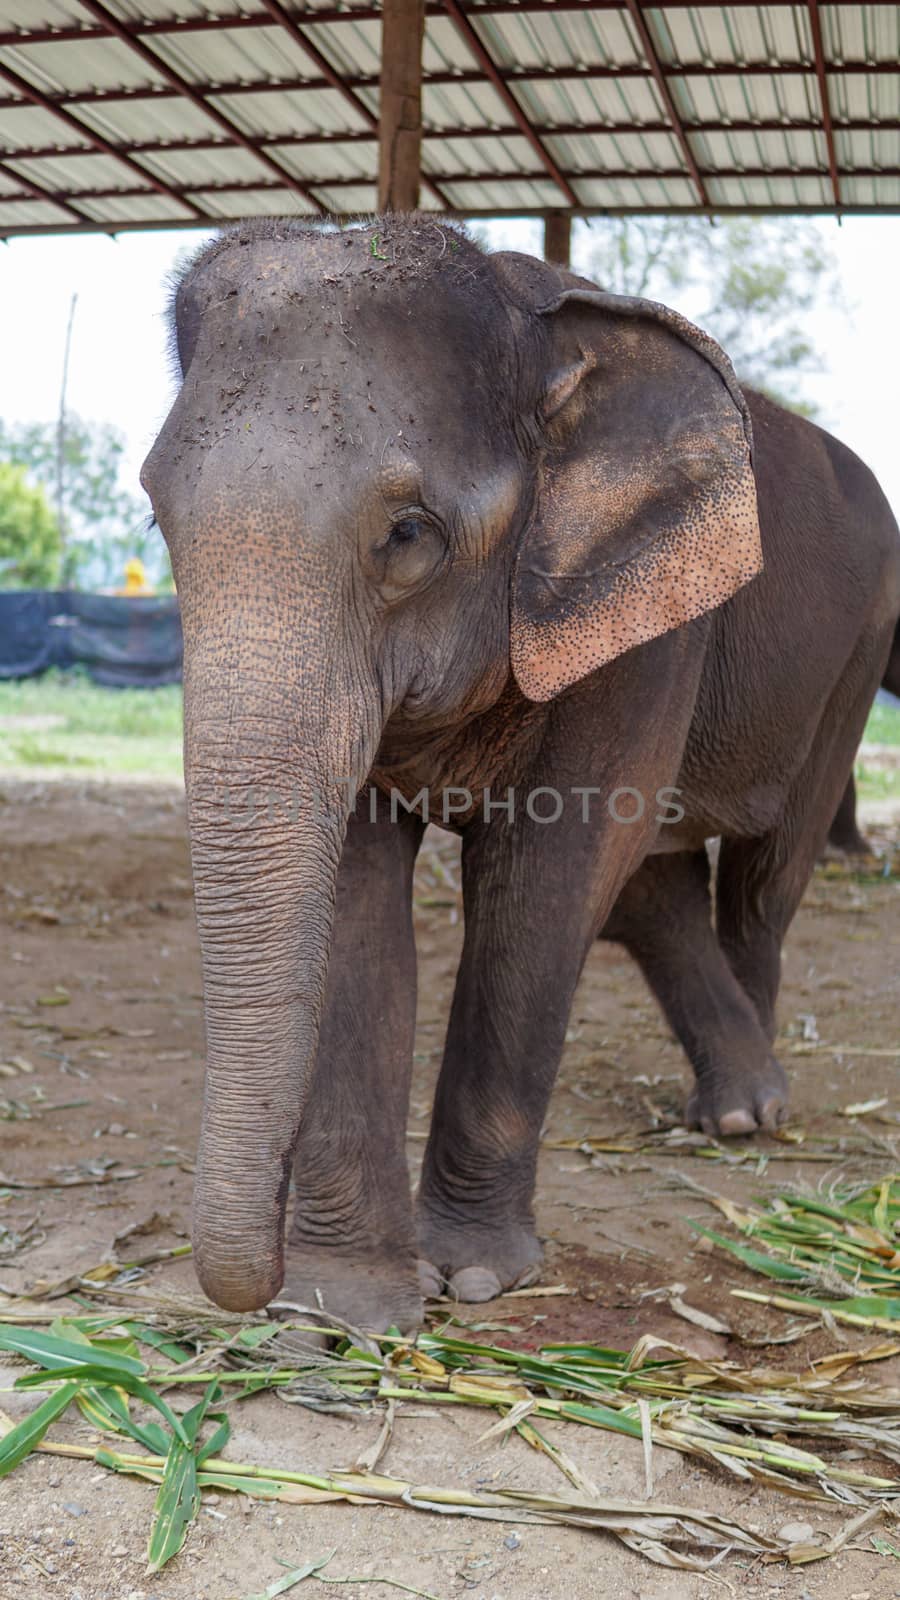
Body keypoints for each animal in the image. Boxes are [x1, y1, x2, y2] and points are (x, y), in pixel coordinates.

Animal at [140, 219, 896, 1331]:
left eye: (409, 533)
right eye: (158, 519)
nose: (262, 1285)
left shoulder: (645, 622)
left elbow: (546, 877)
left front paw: (475, 1277)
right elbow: (359, 884)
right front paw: (348, 1310)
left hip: (854, 654)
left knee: (766, 877)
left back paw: (747, 1115)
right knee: (657, 890)